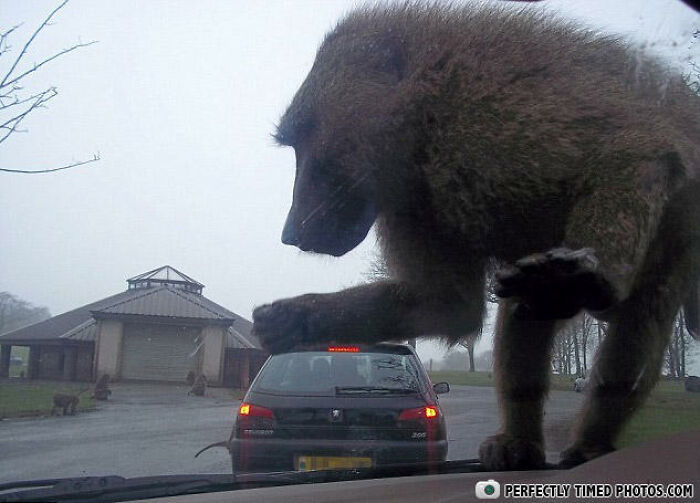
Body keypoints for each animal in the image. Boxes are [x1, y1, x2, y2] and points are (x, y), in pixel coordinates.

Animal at [250, 3, 700, 471]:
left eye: (305, 136)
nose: (289, 233)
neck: (421, 110)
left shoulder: (489, 120)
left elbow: (636, 145)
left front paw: (574, 281)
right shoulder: (416, 205)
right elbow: (449, 305)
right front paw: (296, 319)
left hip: (681, 228)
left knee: (639, 315)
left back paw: (591, 437)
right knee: (526, 309)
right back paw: (521, 443)